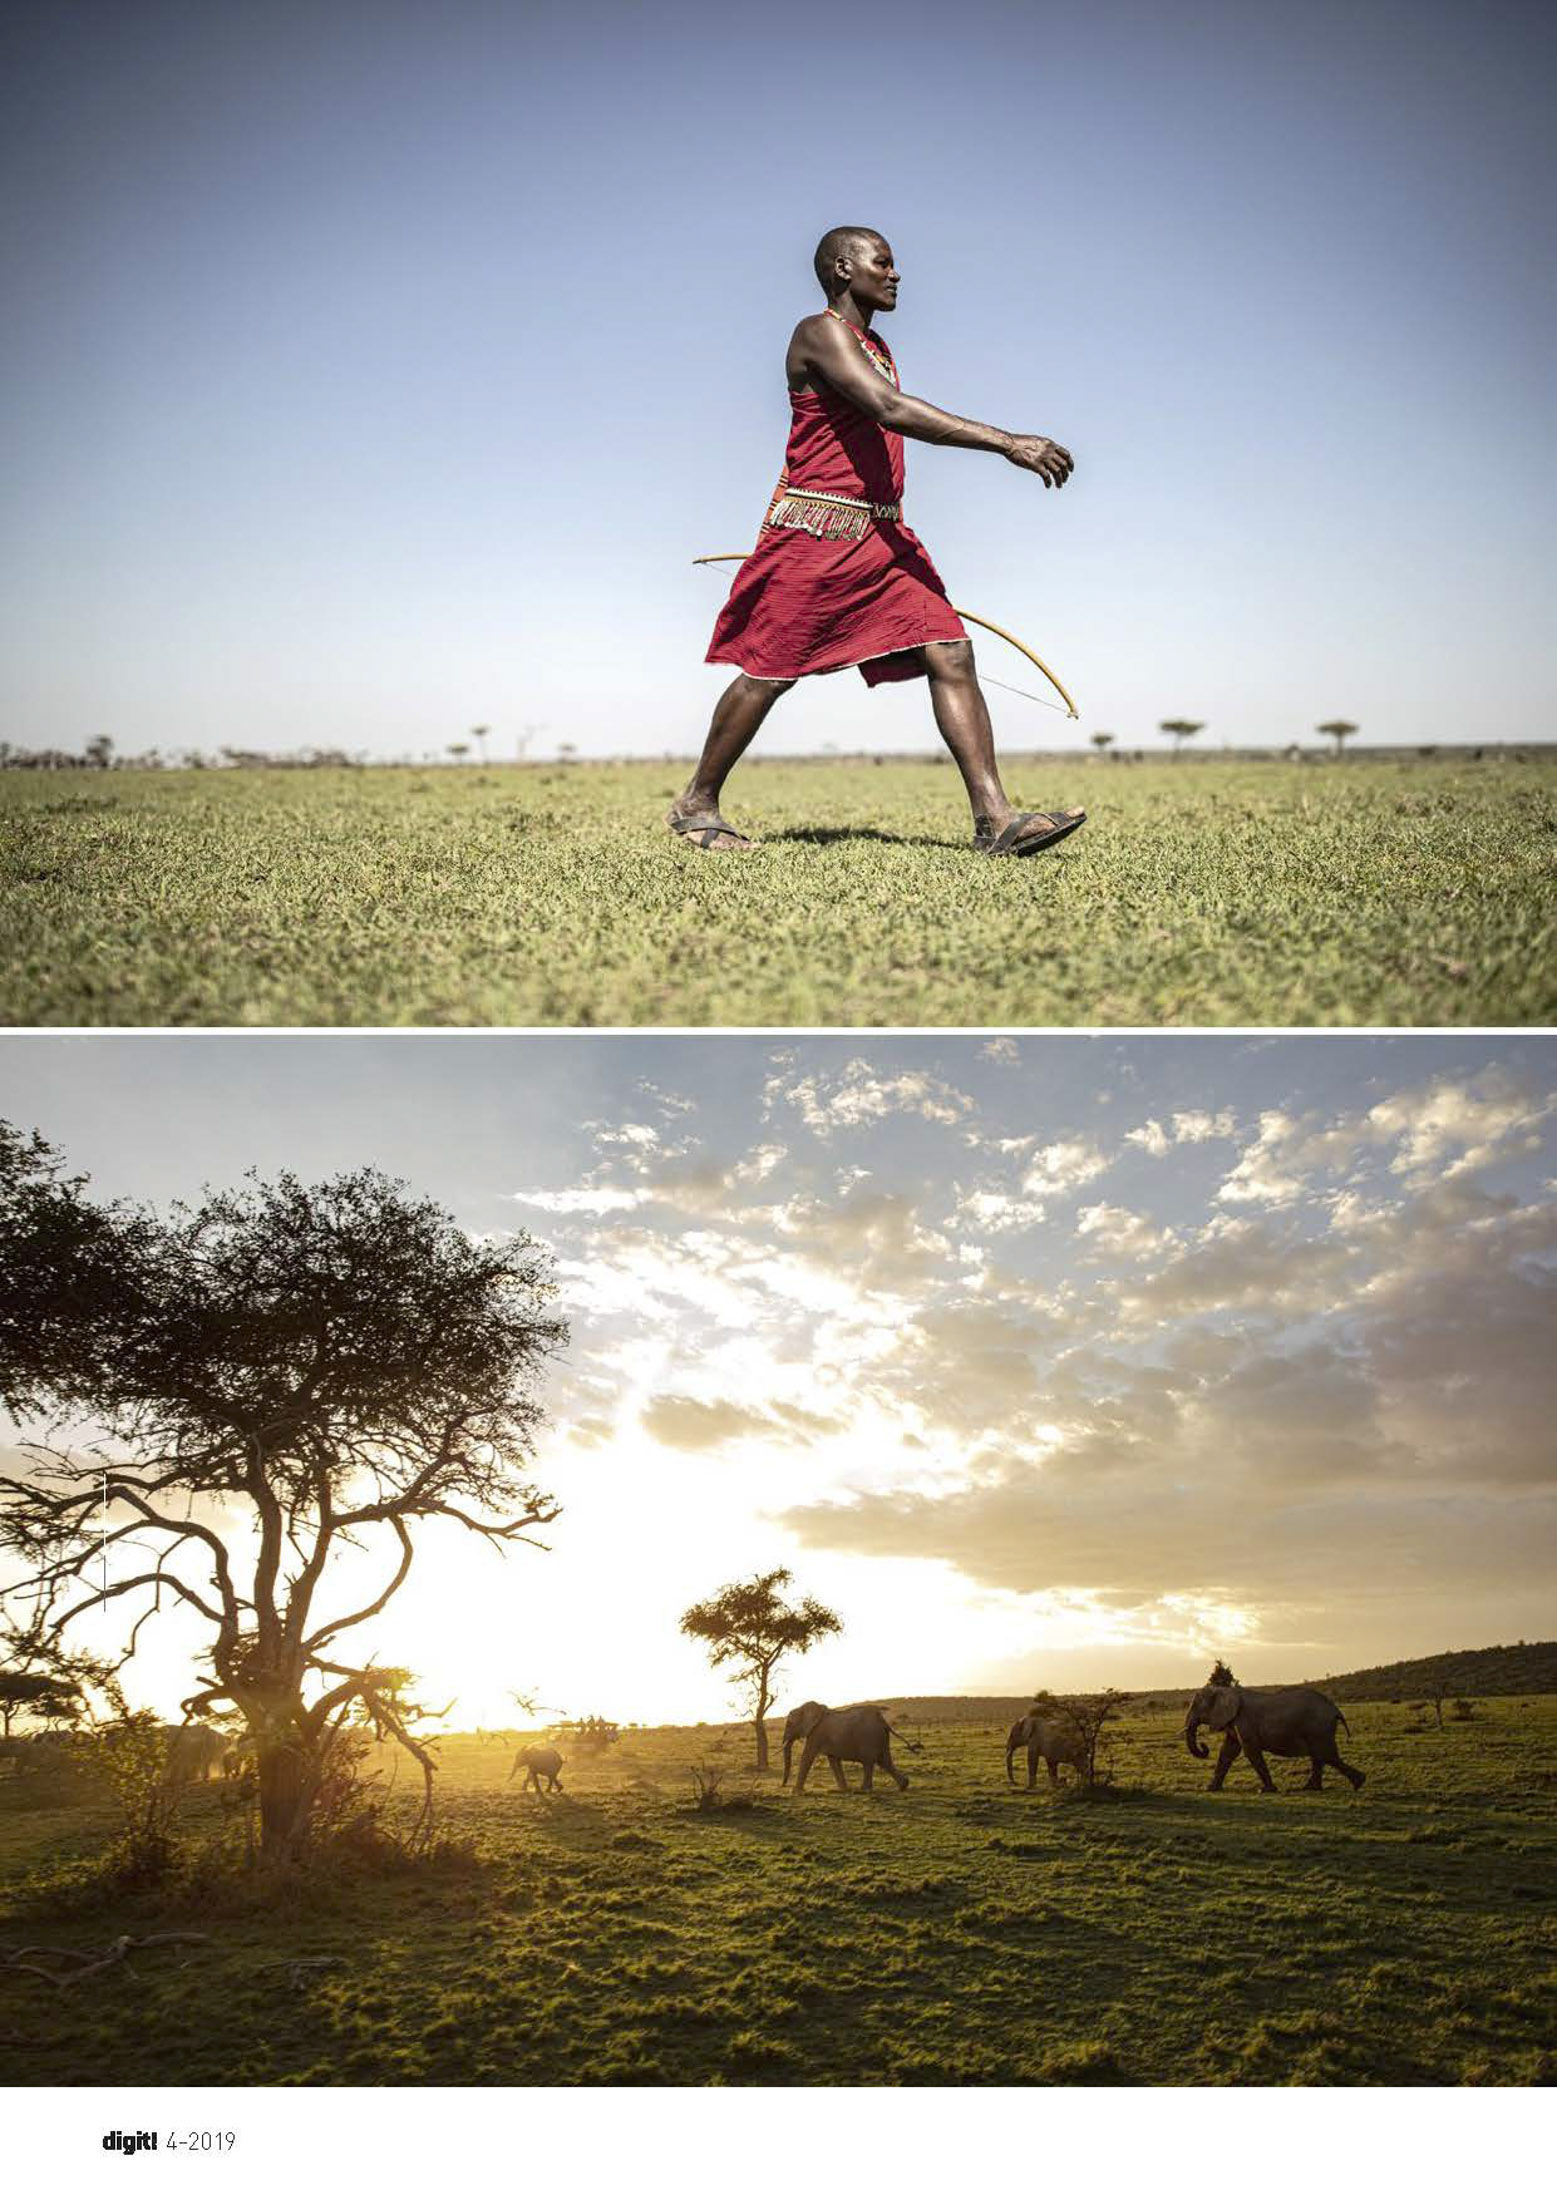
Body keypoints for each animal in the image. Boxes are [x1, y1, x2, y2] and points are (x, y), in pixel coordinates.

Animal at [778, 1698, 910, 1786]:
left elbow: (807, 1756)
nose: (783, 1785)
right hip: (881, 1736)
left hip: (869, 1737)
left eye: (789, 1723)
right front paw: (844, 1789)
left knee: (869, 1762)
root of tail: (881, 1719)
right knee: (884, 1761)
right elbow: (833, 1761)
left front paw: (795, 1793)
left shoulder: (817, 1733)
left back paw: (864, 1790)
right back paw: (904, 1785)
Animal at [1178, 1672, 1363, 1795]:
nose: (1204, 1746)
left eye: (1196, 1706)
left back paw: (1359, 1783)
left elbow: (1250, 1751)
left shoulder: (1245, 1720)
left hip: (1318, 1727)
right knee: (1320, 1756)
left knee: (1326, 1755)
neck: (1225, 1690)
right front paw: (1210, 1789)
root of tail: (1335, 1710)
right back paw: (1311, 1788)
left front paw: (1265, 1790)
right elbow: (1228, 1751)